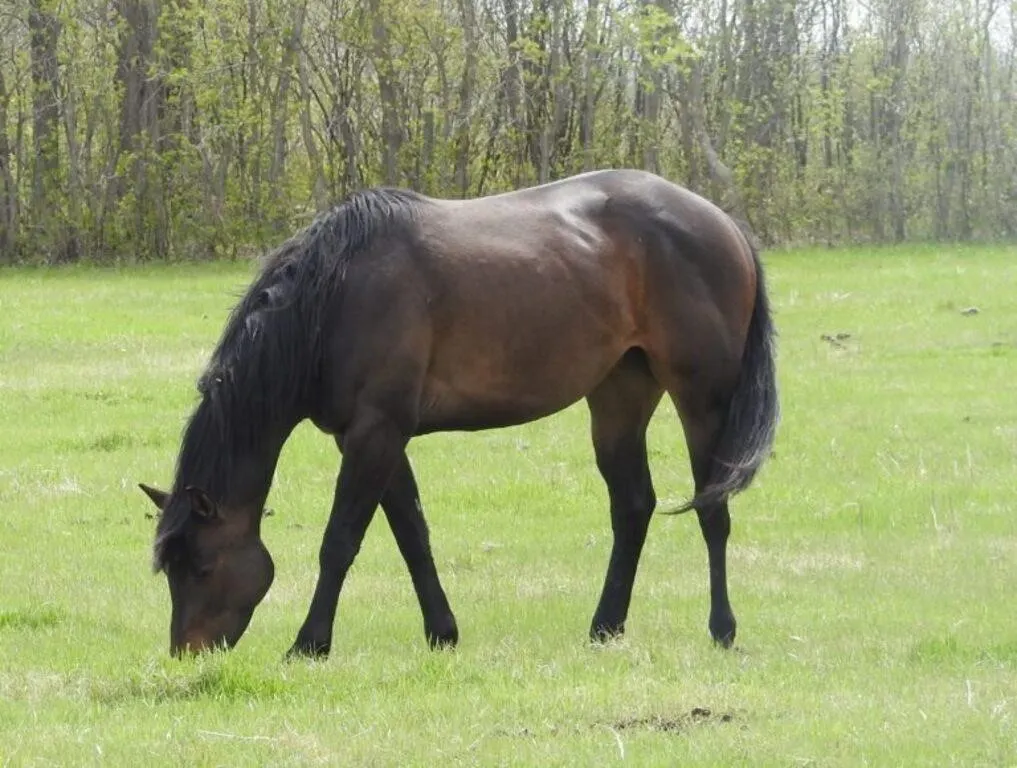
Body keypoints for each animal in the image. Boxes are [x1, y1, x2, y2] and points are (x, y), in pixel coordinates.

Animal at [138, 168, 779, 658]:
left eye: (201, 567)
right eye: (171, 570)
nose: (187, 652)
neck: (336, 295)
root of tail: (726, 226)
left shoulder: (376, 432)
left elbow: (340, 540)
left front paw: (309, 644)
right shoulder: (371, 437)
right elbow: (412, 535)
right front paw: (442, 633)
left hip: (703, 397)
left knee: (712, 509)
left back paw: (722, 629)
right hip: (619, 395)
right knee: (632, 507)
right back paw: (605, 627)